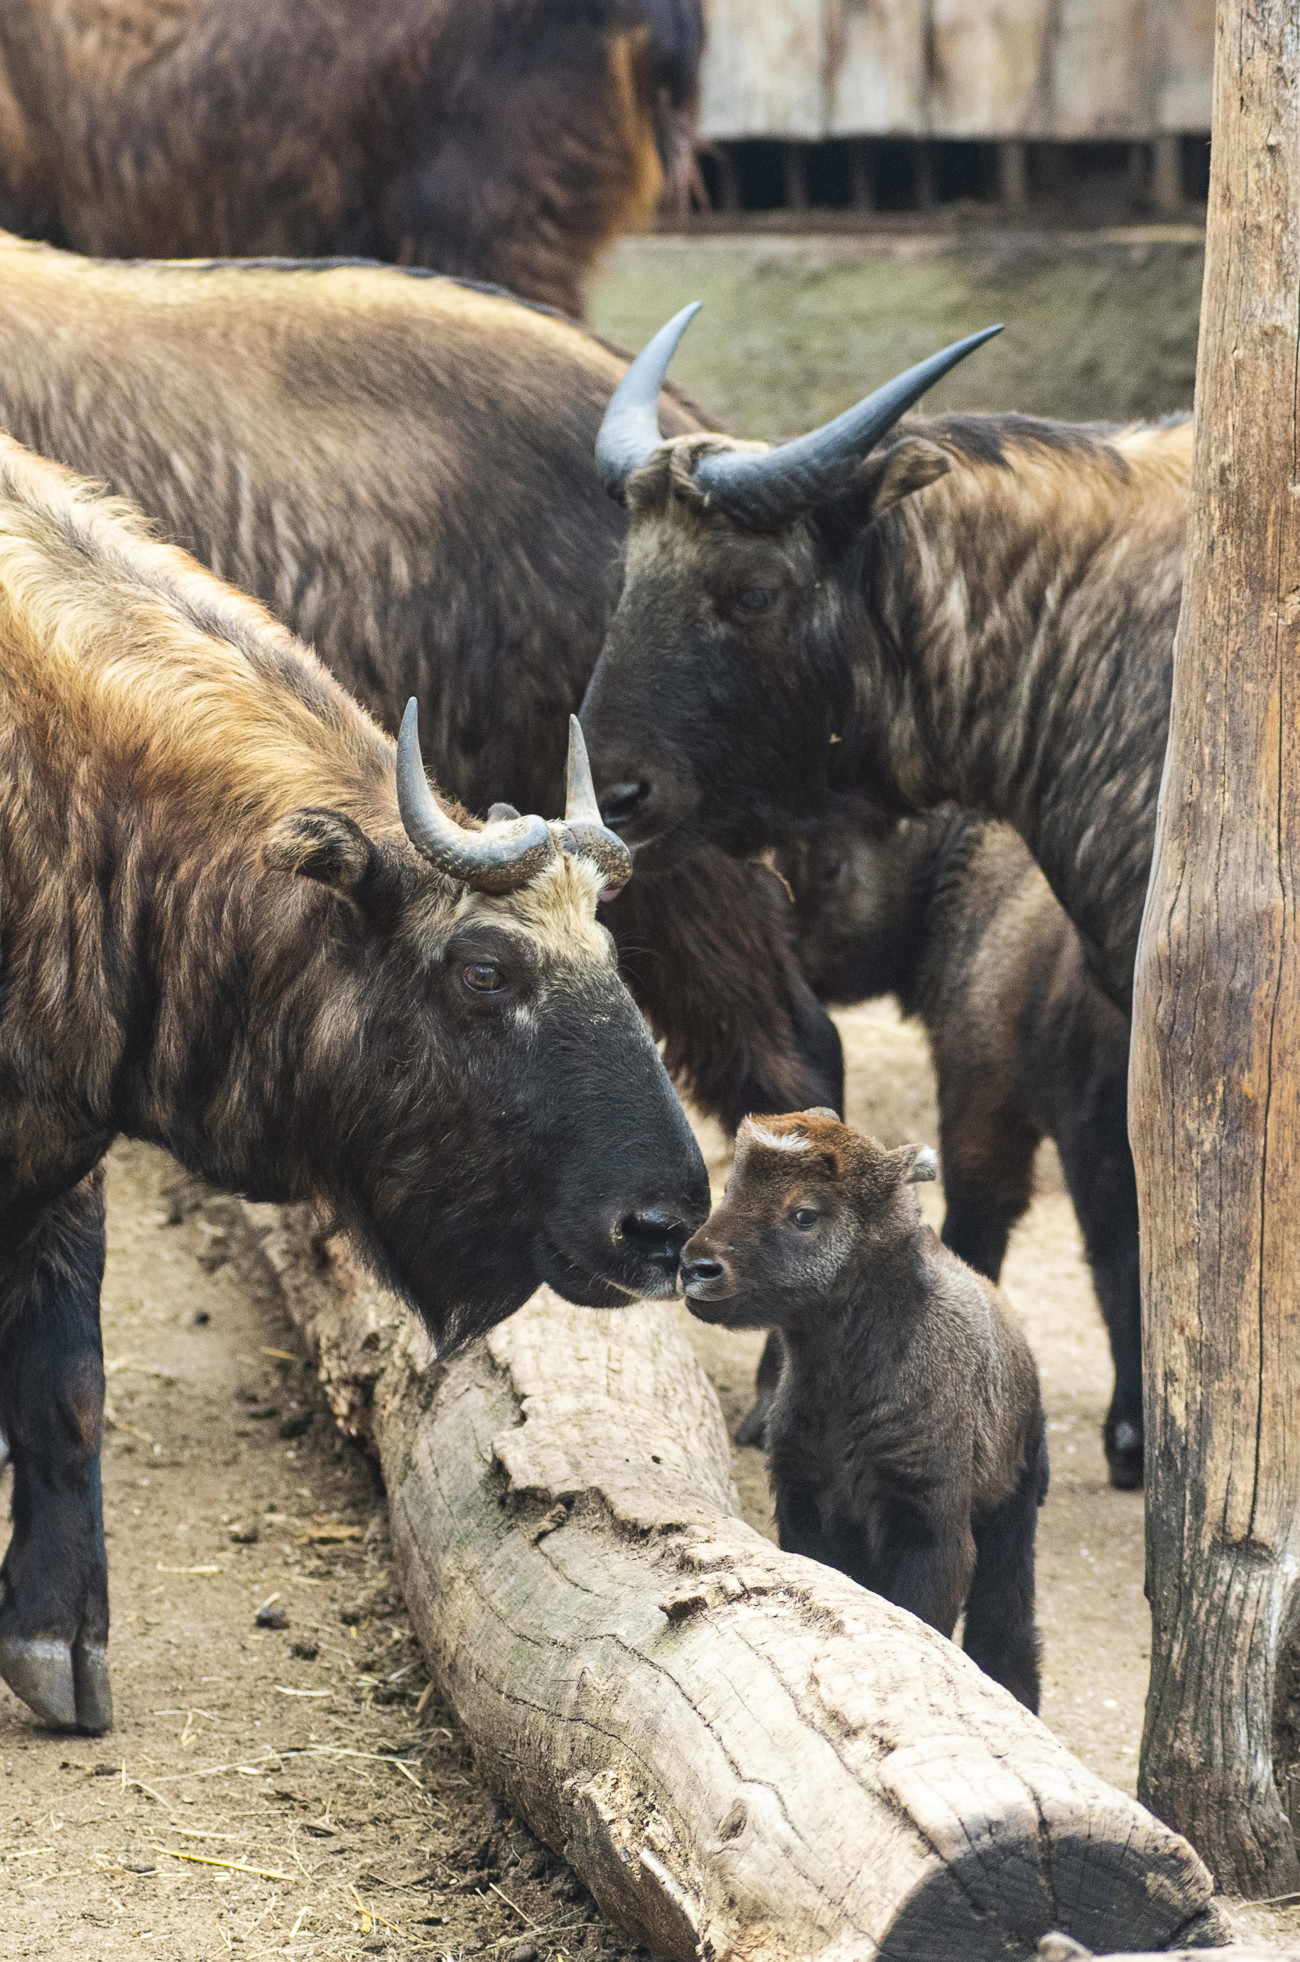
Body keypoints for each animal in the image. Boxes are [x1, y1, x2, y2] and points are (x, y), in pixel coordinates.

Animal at [0, 433, 705, 1734]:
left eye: (610, 948)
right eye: (484, 969)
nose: (665, 1226)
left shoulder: (59, 1148)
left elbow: (67, 1390)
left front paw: (57, 1635)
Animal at [682, 1114, 1050, 1710]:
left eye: (805, 1214)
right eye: (731, 1190)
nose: (696, 1268)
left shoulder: (931, 1526)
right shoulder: (805, 1503)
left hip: (1012, 1515)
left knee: (1007, 1624)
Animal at [784, 808, 1137, 1483]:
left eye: (828, 863)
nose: (798, 963)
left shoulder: (983, 1106)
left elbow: (977, 1231)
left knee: (1120, 1265)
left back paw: (1128, 1438)